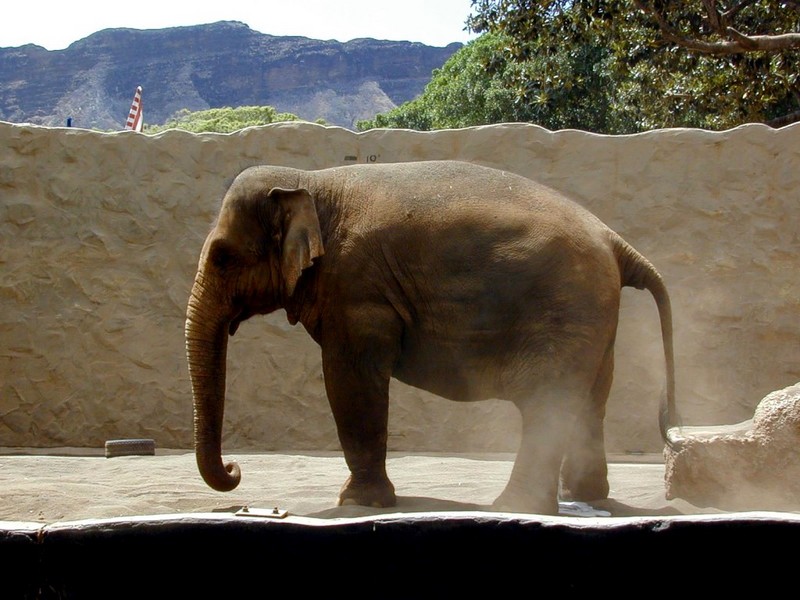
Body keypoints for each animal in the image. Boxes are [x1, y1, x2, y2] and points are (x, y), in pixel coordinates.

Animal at [186, 159, 680, 516]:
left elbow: (350, 379)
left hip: (565, 305)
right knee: (590, 400)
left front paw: (359, 502)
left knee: (547, 401)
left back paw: (515, 506)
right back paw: (584, 496)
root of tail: (614, 240)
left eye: (223, 257)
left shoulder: (357, 290)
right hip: (593, 315)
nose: (234, 469)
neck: (309, 180)